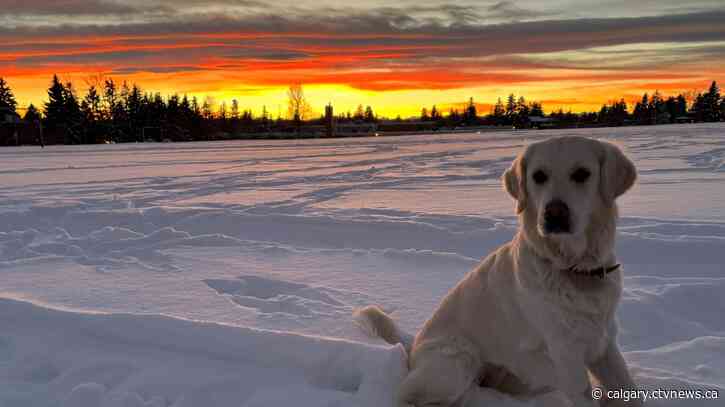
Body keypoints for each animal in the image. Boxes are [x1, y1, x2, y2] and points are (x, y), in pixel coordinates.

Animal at [354, 137, 640, 407]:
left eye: (582, 173)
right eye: (539, 176)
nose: (554, 213)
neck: (575, 268)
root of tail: (413, 350)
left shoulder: (604, 342)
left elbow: (629, 388)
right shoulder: (565, 353)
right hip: (457, 362)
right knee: (407, 395)